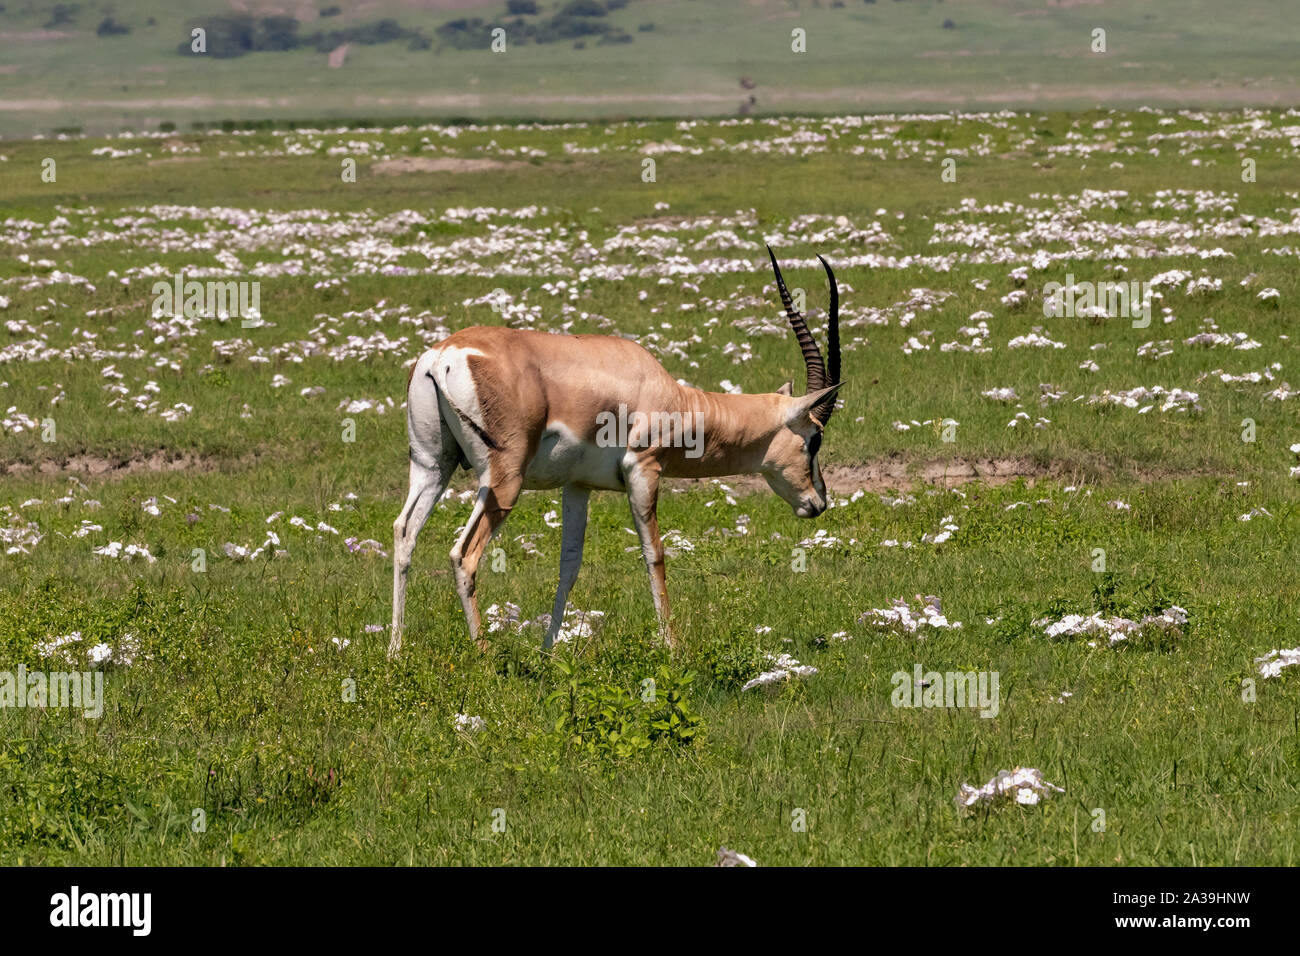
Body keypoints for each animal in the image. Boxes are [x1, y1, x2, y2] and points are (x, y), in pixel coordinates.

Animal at [388, 246, 842, 658]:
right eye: (815, 438)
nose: (818, 502)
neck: (672, 397)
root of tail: (442, 356)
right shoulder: (644, 470)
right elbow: (654, 553)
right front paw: (671, 646)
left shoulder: (577, 486)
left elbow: (569, 564)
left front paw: (548, 652)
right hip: (503, 481)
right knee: (463, 554)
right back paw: (482, 653)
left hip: (433, 466)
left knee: (404, 531)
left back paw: (395, 650)